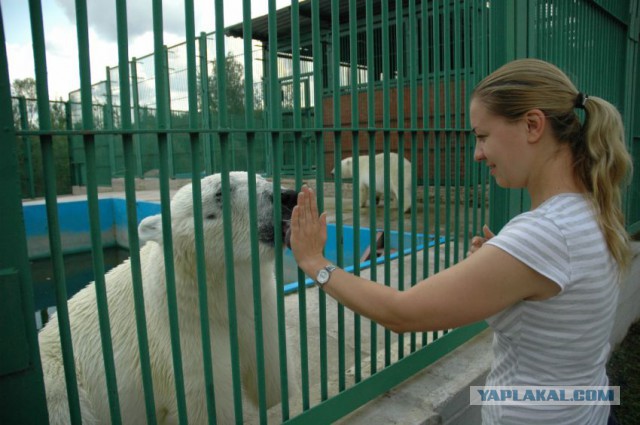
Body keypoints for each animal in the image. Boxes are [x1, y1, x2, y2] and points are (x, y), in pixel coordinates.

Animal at [38, 172, 298, 424]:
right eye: (220, 192)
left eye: (260, 177)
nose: (286, 196)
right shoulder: (182, 326)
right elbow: (208, 398)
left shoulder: (256, 303)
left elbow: (271, 371)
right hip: (59, 379)